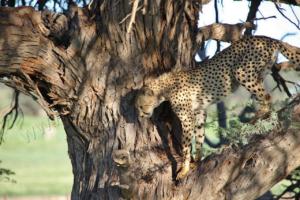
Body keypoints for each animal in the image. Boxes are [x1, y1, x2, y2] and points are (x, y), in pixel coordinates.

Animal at [135, 35, 300, 180]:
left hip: (241, 72)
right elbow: (200, 137)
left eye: (142, 106)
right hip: (260, 73)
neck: (164, 89)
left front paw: (184, 169)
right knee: (265, 95)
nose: (141, 116)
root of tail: (267, 38)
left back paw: (258, 117)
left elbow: (186, 146)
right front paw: (197, 161)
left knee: (267, 97)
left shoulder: (187, 118)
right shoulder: (200, 112)